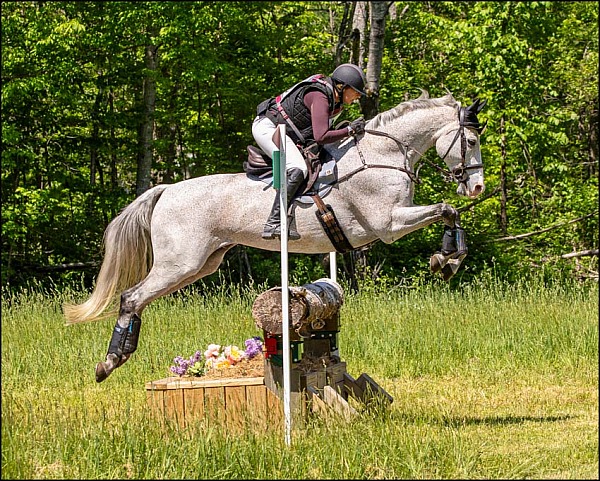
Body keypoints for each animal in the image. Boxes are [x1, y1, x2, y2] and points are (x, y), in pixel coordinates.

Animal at [64, 91, 488, 382]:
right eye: (470, 142)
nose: (477, 188)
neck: (382, 154)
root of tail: (166, 189)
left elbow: (449, 212)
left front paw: (448, 260)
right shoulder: (388, 224)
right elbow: (446, 209)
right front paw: (445, 260)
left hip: (200, 264)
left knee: (139, 299)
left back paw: (114, 359)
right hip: (178, 263)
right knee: (131, 297)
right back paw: (111, 362)